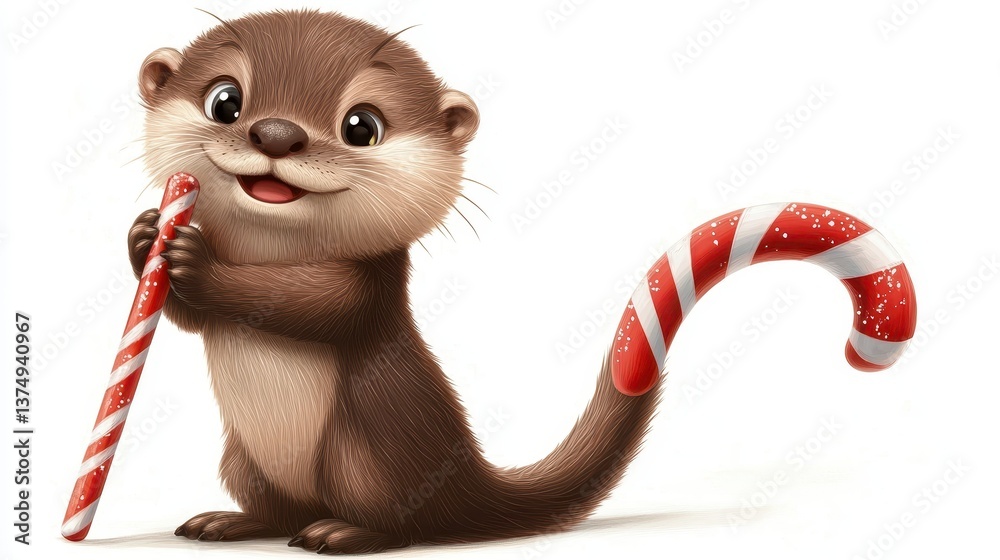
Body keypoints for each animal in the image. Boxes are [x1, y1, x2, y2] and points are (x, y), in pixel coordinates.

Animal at [127, 8, 659, 554]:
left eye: (362, 126)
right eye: (225, 101)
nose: (276, 133)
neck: (269, 254)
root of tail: (466, 480)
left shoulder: (371, 283)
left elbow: (314, 305)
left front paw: (195, 258)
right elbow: (191, 319)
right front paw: (145, 234)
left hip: (365, 455)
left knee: (405, 525)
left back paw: (342, 532)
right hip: (243, 463)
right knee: (279, 512)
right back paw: (226, 522)